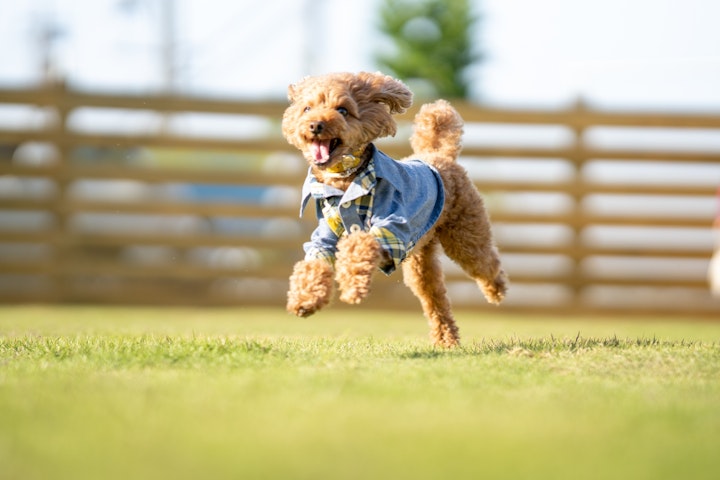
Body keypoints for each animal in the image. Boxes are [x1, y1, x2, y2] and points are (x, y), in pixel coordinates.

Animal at [280, 71, 506, 346]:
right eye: (307, 108)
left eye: (343, 110)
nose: (315, 125)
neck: (346, 181)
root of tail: (440, 155)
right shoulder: (324, 238)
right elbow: (313, 263)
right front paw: (305, 299)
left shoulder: (391, 230)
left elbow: (359, 244)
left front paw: (353, 287)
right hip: (421, 260)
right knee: (434, 297)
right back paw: (446, 340)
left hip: (466, 234)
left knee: (485, 262)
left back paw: (496, 291)